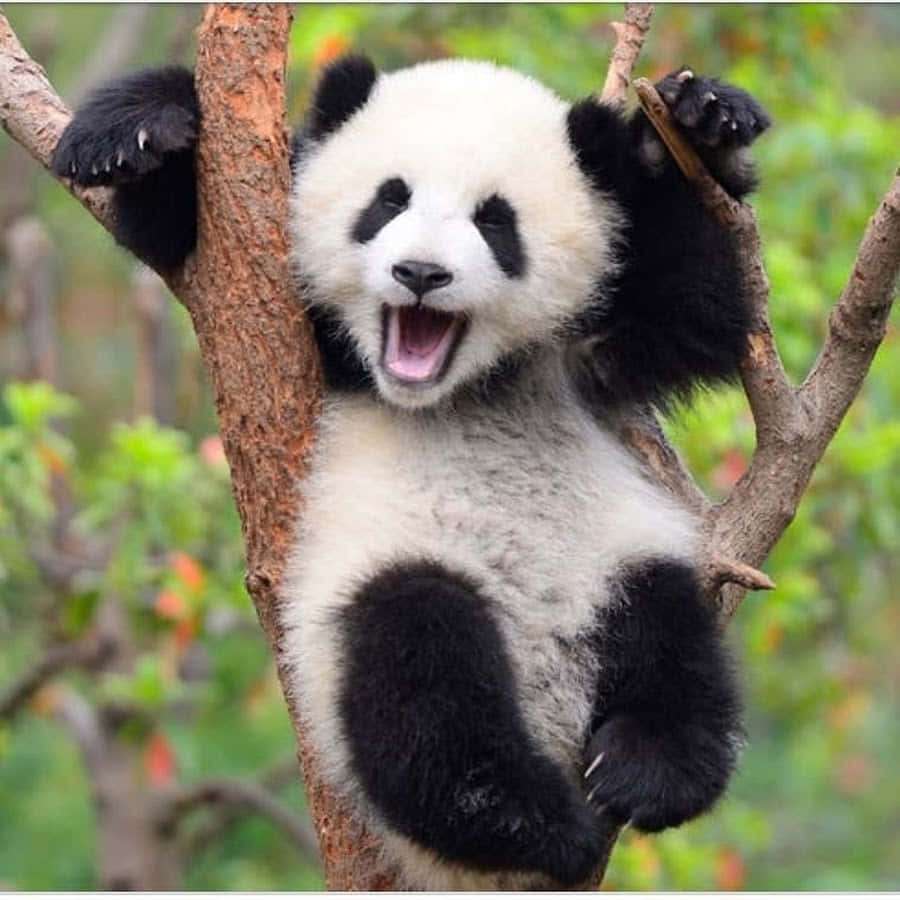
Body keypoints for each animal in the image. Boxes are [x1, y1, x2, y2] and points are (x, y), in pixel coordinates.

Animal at [53, 53, 770, 889]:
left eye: (495, 221)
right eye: (388, 200)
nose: (421, 272)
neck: (458, 389)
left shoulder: (593, 347)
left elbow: (700, 306)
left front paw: (699, 120)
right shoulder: (302, 327)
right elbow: (190, 236)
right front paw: (137, 130)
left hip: (612, 563)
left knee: (671, 644)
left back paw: (639, 772)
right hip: (380, 582)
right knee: (419, 671)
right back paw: (531, 821)